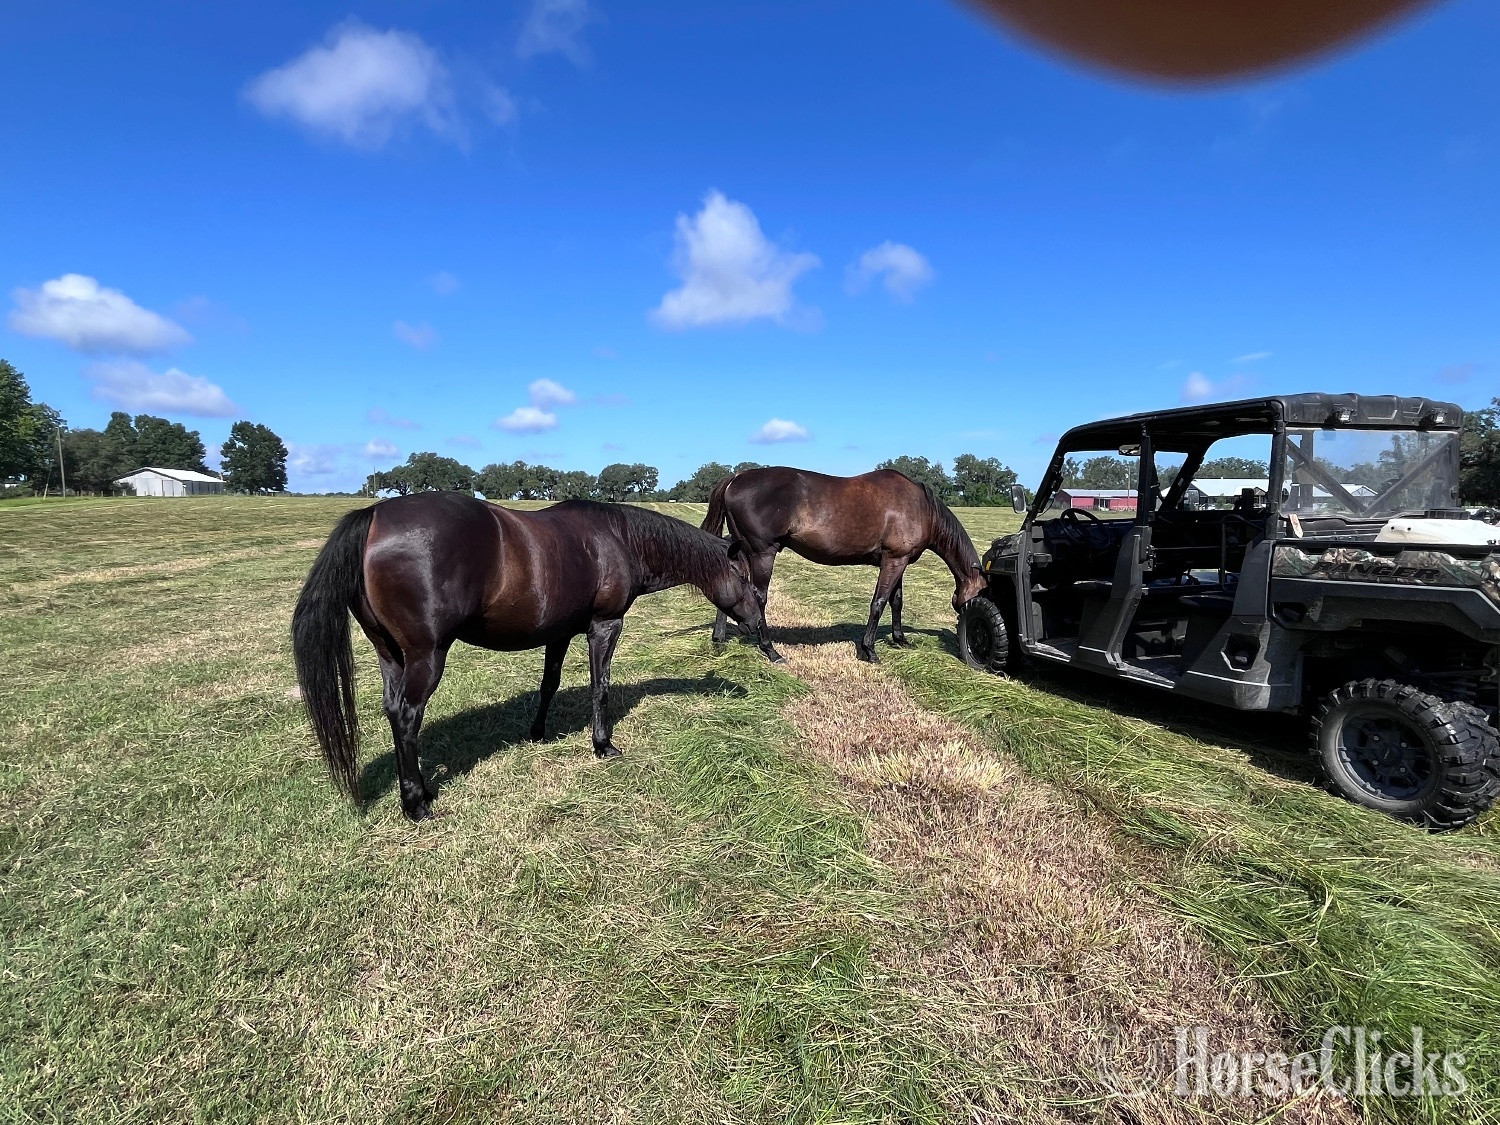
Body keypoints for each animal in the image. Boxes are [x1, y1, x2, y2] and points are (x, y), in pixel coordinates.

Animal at [292, 492, 775, 821]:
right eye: (746, 578)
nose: (758, 627)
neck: (618, 538)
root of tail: (373, 517)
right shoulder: (605, 626)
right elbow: (600, 686)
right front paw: (603, 745)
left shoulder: (559, 633)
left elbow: (550, 682)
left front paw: (539, 733)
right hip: (426, 656)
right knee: (408, 716)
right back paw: (417, 803)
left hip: (390, 655)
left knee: (393, 710)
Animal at [703, 467, 987, 663]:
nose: (968, 636)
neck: (921, 507)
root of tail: (736, 478)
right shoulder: (894, 561)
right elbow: (879, 602)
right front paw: (869, 650)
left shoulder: (899, 560)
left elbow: (896, 601)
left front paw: (900, 640)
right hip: (762, 553)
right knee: (758, 596)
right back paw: (771, 650)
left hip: (742, 550)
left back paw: (720, 639)